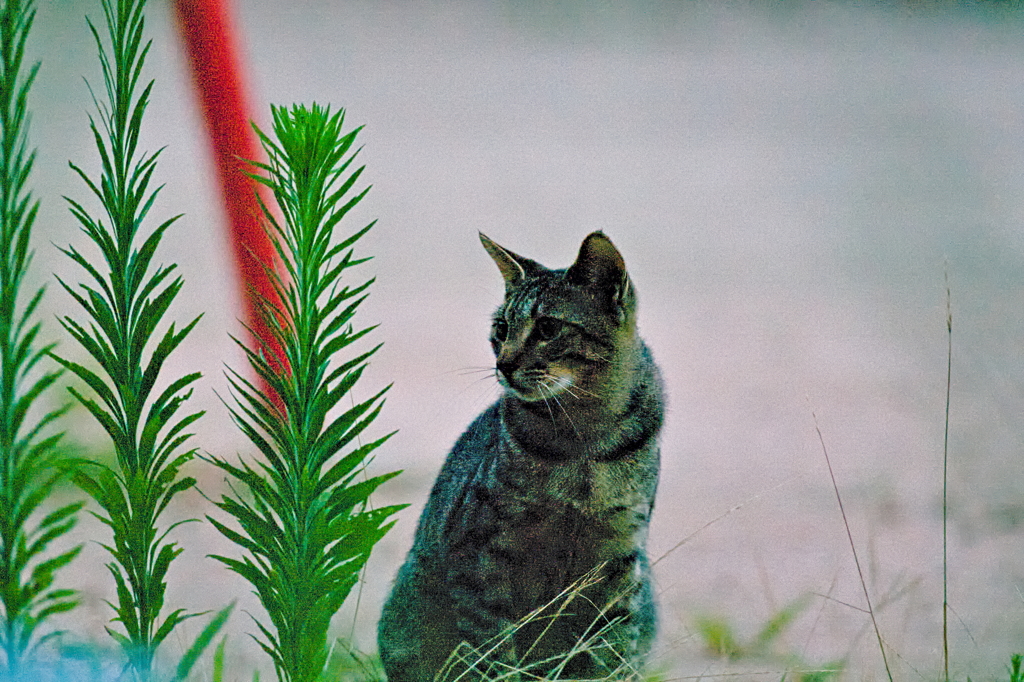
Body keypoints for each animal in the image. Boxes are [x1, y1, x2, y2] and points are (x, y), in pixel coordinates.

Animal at [376, 231, 663, 675]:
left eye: (547, 327)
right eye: (501, 327)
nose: (503, 364)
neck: (584, 437)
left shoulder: (618, 559)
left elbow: (611, 652)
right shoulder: (480, 558)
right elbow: (494, 650)